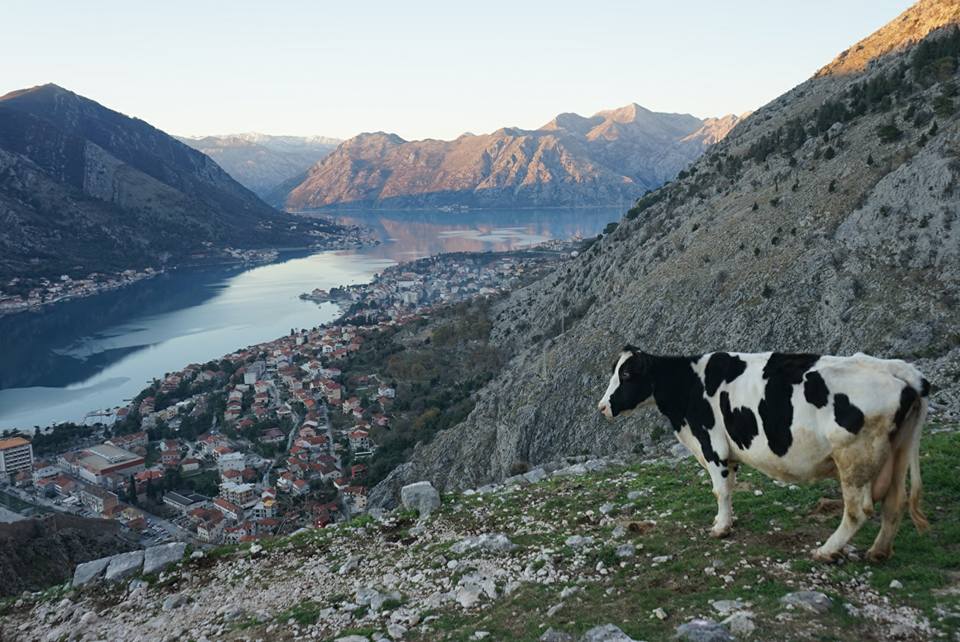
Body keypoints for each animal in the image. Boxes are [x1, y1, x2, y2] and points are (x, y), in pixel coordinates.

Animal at [596, 344, 928, 560]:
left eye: (627, 375)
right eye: (613, 372)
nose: (602, 407)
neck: (688, 387)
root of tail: (896, 368)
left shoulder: (713, 445)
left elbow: (720, 490)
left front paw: (721, 528)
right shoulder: (729, 453)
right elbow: (729, 487)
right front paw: (725, 522)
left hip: (854, 459)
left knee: (859, 511)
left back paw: (826, 550)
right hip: (896, 454)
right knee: (895, 504)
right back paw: (878, 552)